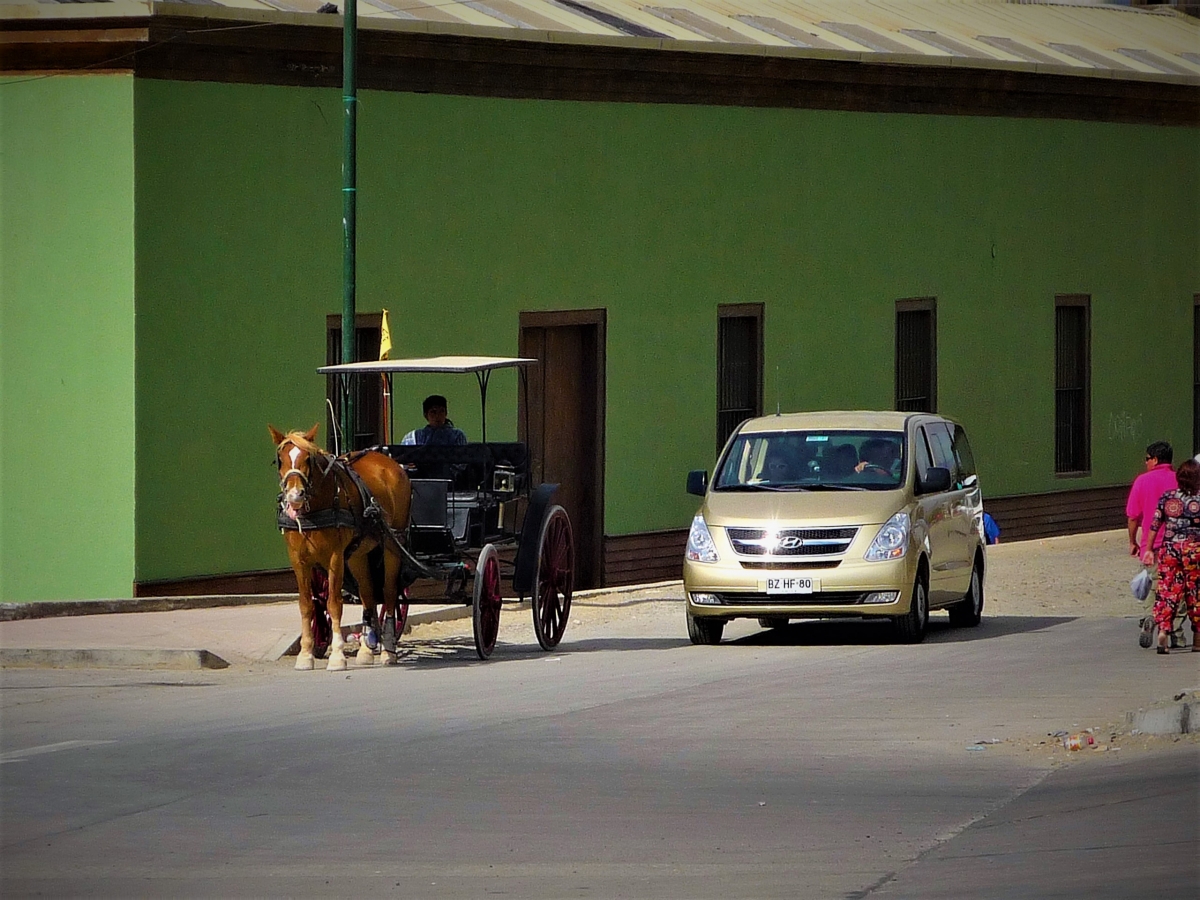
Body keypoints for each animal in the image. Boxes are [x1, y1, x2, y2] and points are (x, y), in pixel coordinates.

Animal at [268, 427, 412, 672]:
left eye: (308, 458)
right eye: (280, 459)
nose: (295, 495)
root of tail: (390, 463)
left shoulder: (334, 557)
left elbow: (334, 604)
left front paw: (337, 656)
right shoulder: (299, 560)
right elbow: (307, 604)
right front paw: (305, 655)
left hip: (393, 545)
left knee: (390, 593)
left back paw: (388, 650)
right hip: (358, 555)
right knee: (368, 594)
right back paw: (366, 650)